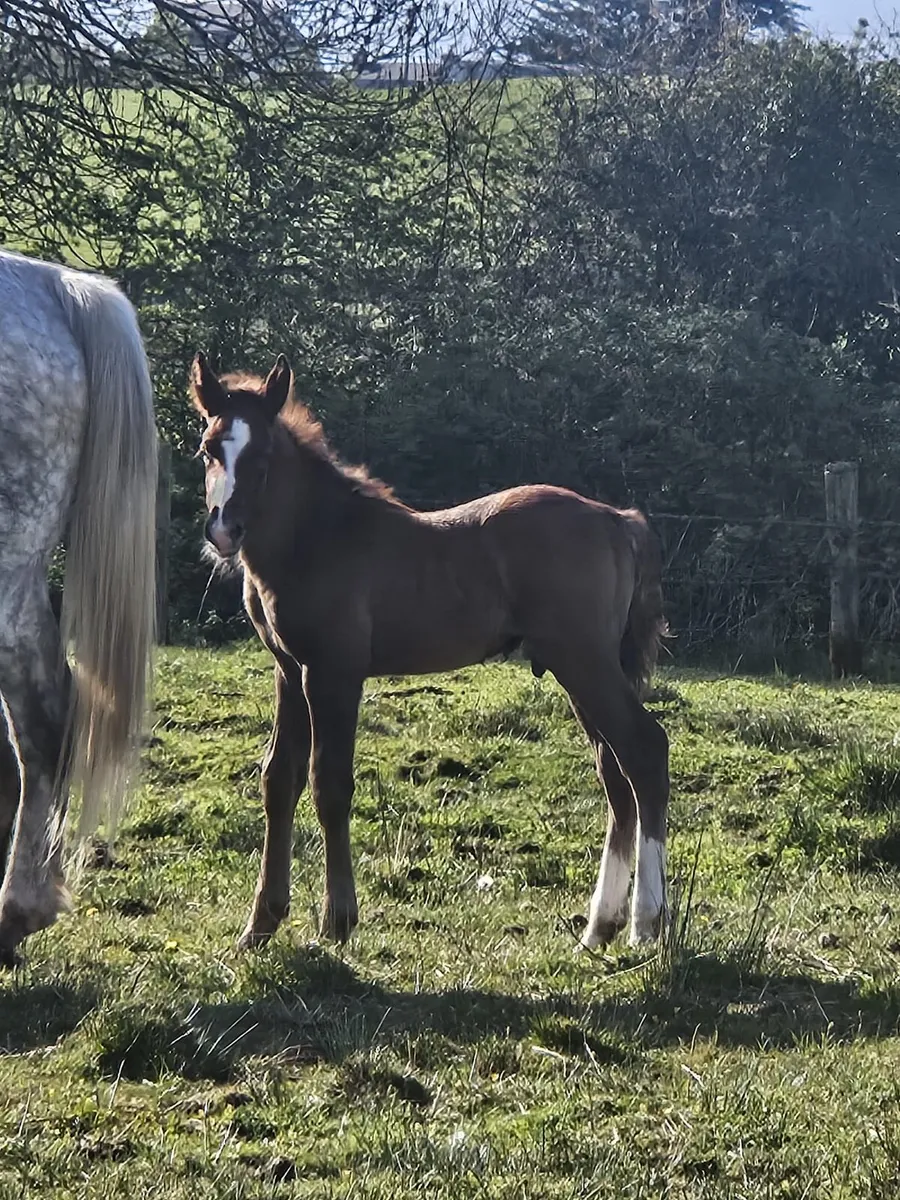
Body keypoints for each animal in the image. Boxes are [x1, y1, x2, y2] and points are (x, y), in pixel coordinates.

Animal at [190, 352, 670, 952]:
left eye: (264, 454)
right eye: (209, 447)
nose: (223, 531)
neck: (318, 538)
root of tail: (617, 520)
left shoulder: (333, 672)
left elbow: (329, 784)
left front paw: (337, 921)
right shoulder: (289, 669)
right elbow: (279, 780)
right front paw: (259, 926)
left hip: (584, 661)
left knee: (645, 751)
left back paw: (646, 925)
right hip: (579, 667)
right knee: (615, 770)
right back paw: (598, 927)